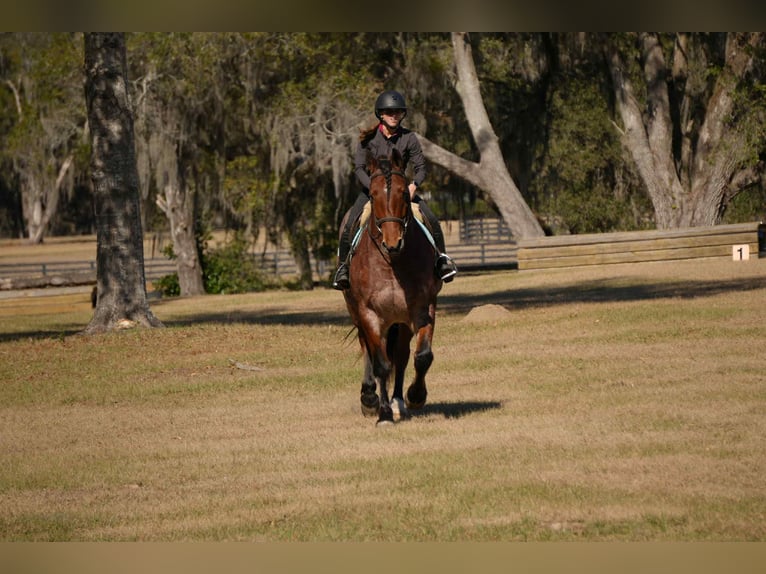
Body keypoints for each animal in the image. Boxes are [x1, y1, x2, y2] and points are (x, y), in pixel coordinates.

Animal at [341, 149, 442, 426]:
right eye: (373, 194)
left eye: (404, 193)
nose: (392, 242)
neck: (392, 262)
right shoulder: (369, 314)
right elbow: (380, 365)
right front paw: (383, 414)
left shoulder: (422, 308)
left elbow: (422, 356)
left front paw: (415, 396)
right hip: (359, 314)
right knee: (368, 349)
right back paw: (369, 399)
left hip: (400, 322)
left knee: (401, 355)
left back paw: (397, 401)